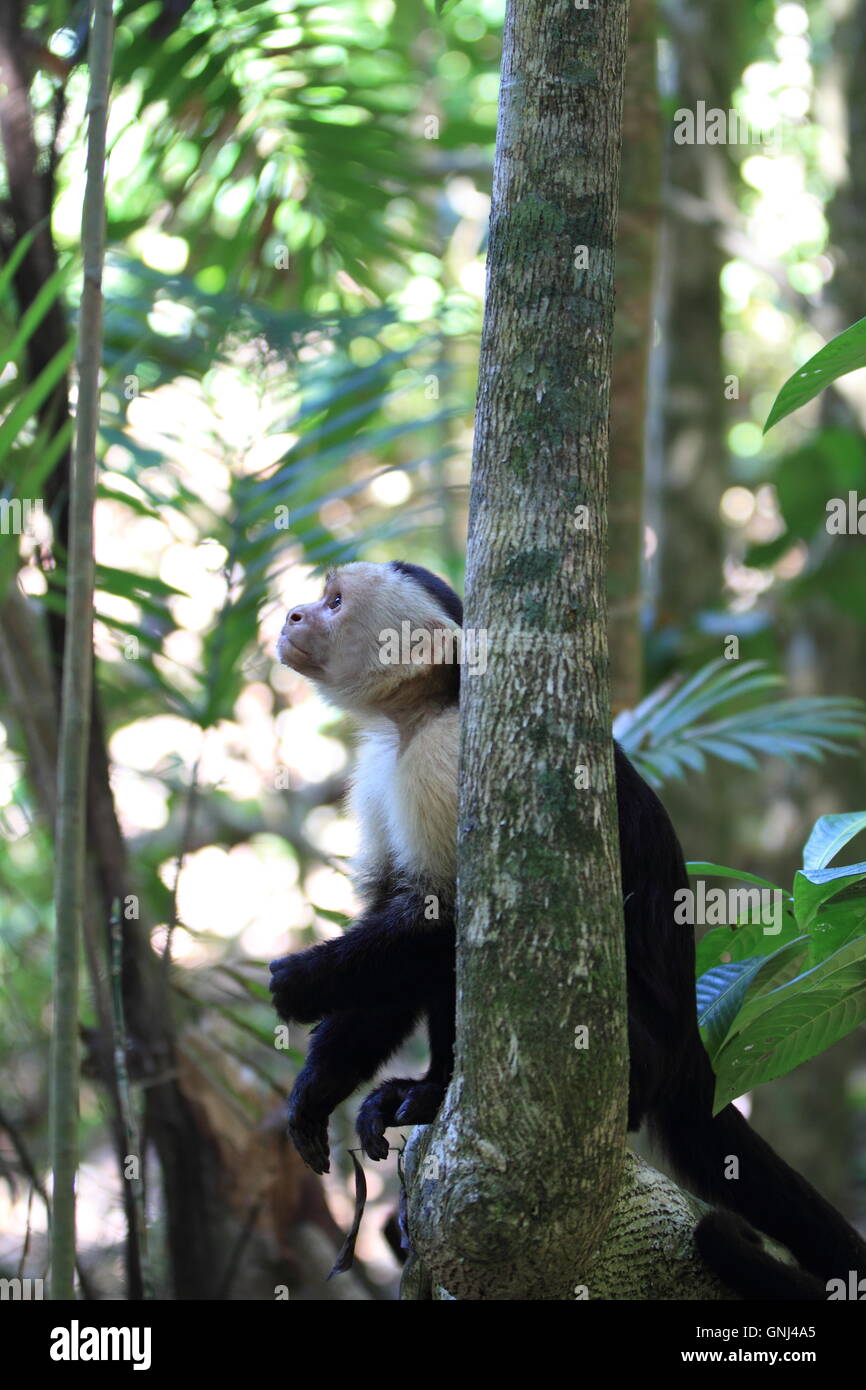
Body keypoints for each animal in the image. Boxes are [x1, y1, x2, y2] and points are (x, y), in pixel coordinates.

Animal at [273, 558, 866, 1295]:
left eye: (333, 602)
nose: (294, 614)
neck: (423, 710)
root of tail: (690, 1055)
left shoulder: (450, 755)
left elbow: (462, 919)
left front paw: (302, 980)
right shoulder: (384, 772)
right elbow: (396, 932)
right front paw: (315, 1091)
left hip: (634, 1055)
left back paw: (436, 1096)